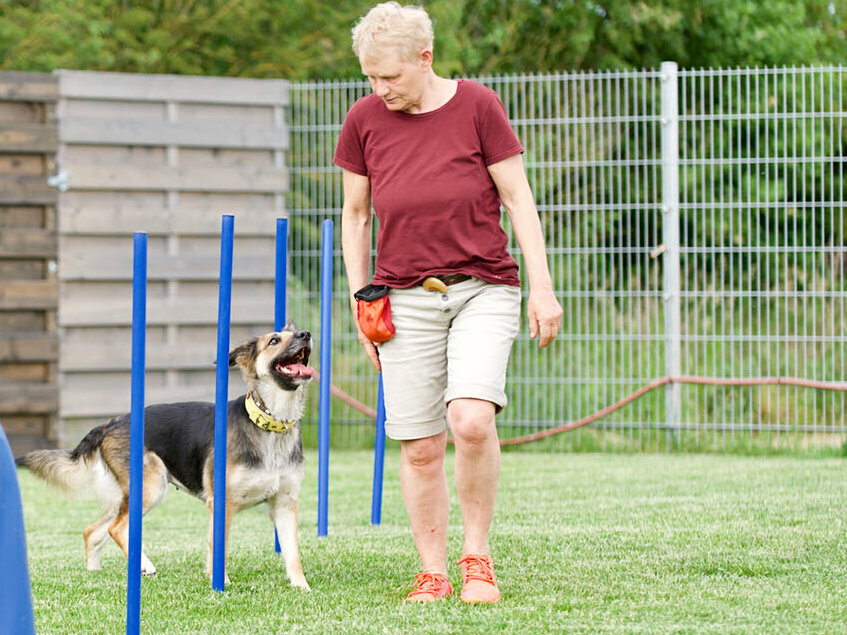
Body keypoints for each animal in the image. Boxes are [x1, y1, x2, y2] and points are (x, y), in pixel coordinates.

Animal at [16, 328, 314, 592]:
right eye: (274, 340)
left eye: (295, 332)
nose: (306, 334)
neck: (270, 425)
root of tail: (111, 423)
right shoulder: (222, 503)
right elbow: (218, 547)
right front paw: (221, 582)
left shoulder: (285, 505)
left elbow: (293, 552)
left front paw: (301, 586)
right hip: (151, 486)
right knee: (116, 528)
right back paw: (143, 565)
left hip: (130, 494)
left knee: (93, 530)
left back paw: (94, 571)